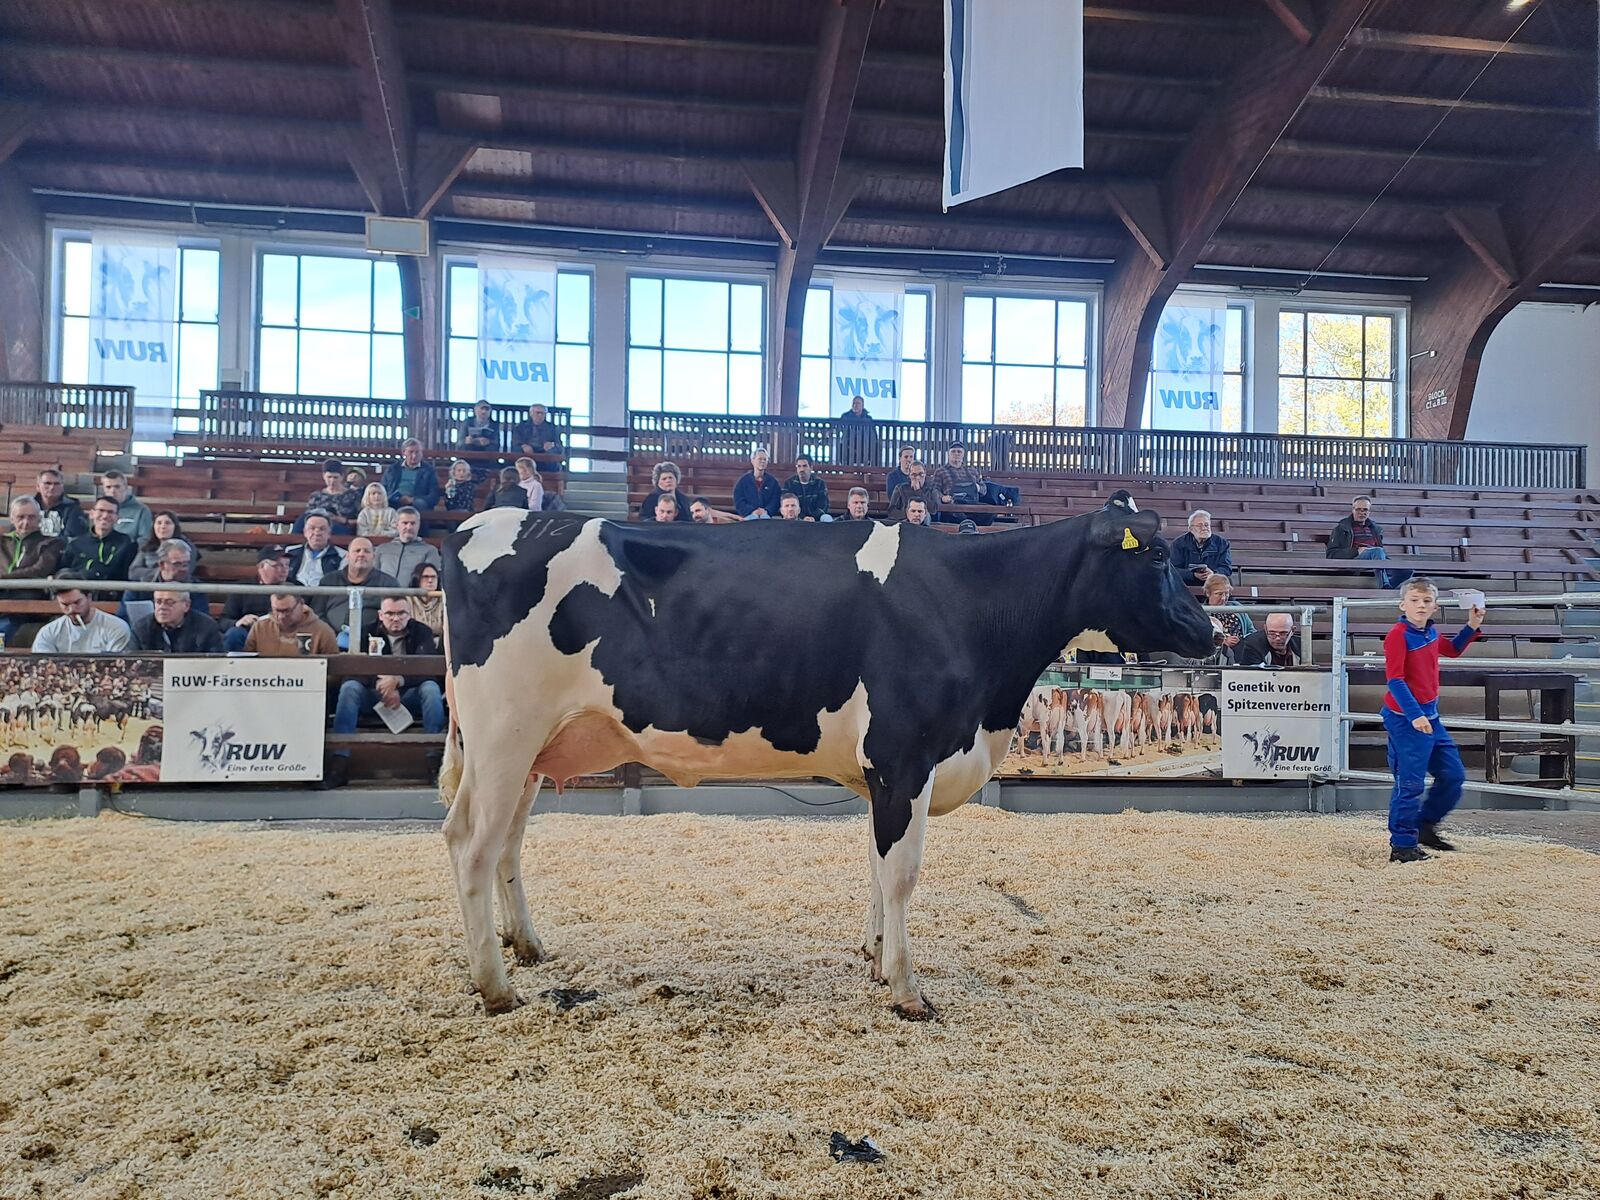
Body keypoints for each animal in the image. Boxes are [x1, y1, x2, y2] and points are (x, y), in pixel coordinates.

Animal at [438, 492, 1209, 1017]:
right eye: (1159, 555)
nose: (1211, 630)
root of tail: (483, 523)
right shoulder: (905, 756)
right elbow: (902, 873)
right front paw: (904, 988)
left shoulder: (882, 773)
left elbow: (875, 865)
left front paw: (873, 956)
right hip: (503, 732)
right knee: (471, 845)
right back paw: (495, 987)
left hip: (529, 748)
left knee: (506, 842)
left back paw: (527, 947)